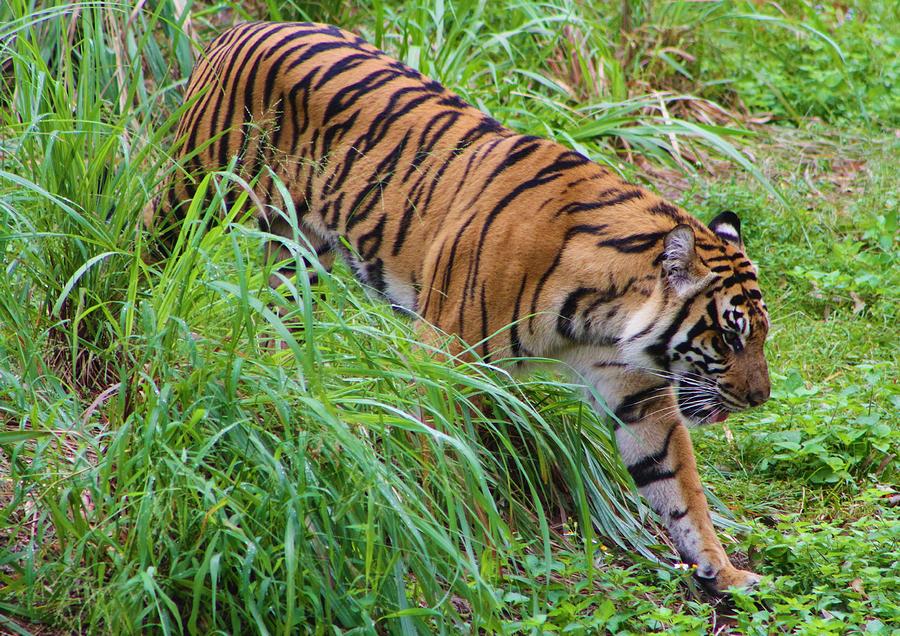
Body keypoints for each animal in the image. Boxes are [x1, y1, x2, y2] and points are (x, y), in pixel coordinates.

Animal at [156, 21, 772, 596]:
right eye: (730, 336)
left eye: (760, 336)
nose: (760, 398)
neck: (601, 317)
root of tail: (247, 26)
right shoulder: (446, 360)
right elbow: (454, 463)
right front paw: (470, 555)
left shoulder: (636, 392)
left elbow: (677, 483)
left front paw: (723, 570)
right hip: (195, 187)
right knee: (155, 247)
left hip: (298, 253)